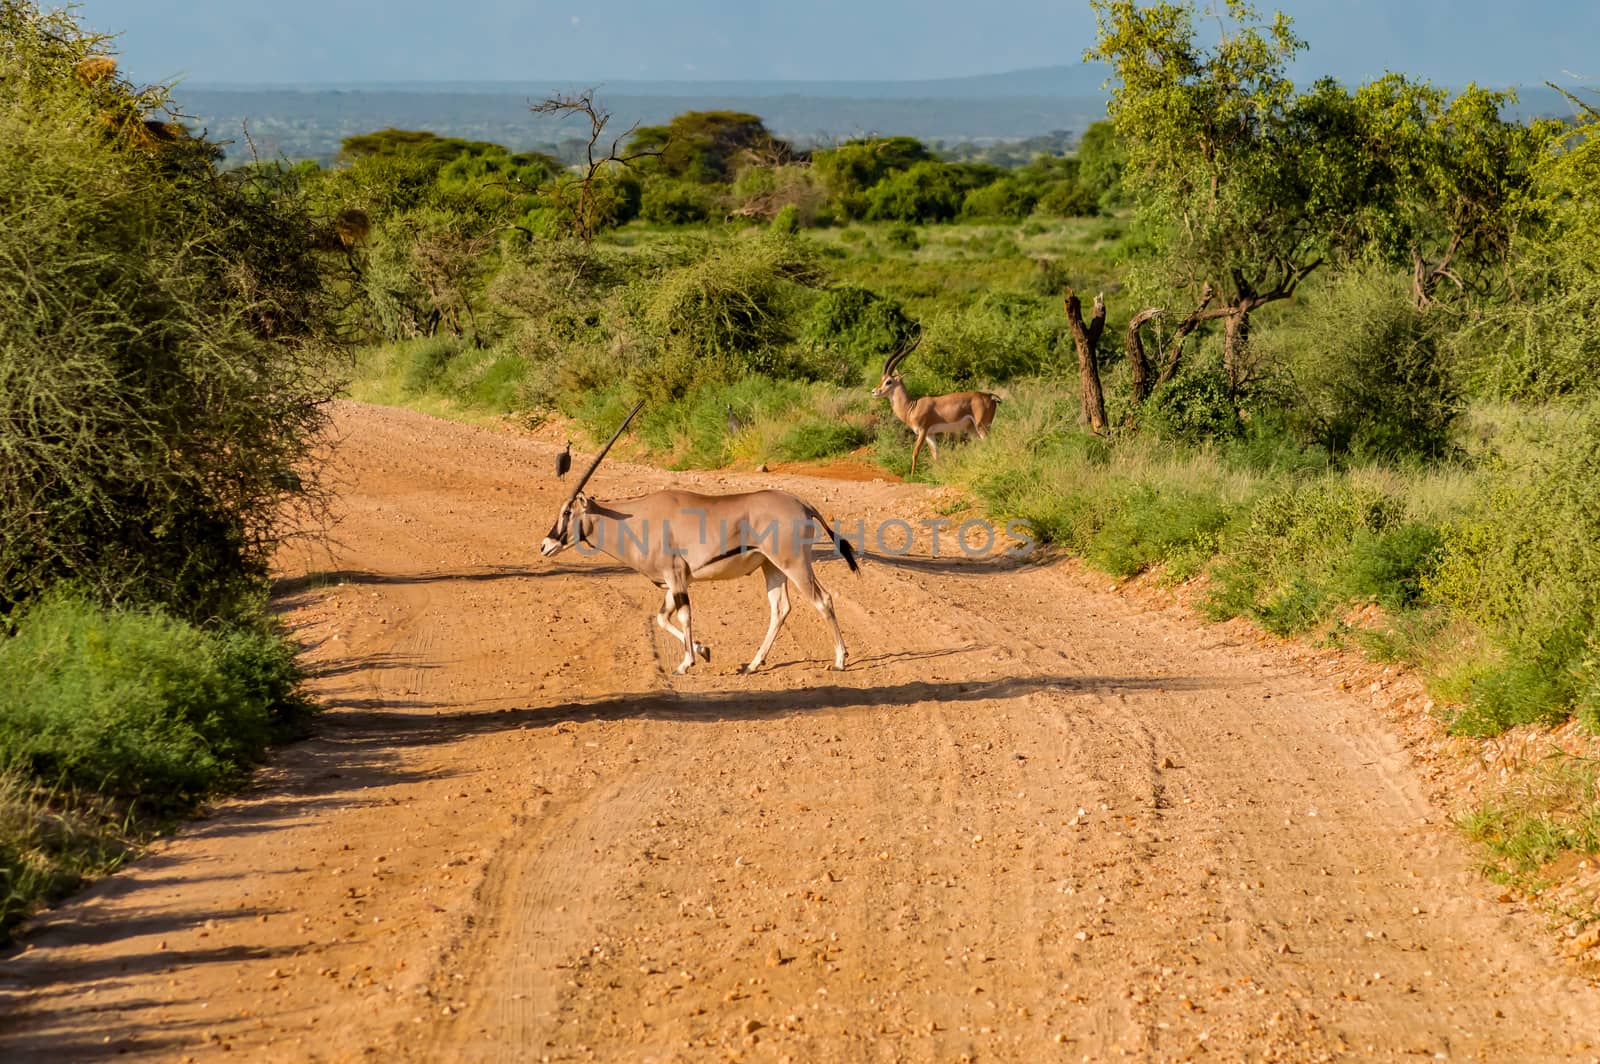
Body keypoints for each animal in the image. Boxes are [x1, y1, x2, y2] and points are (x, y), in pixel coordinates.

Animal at [540, 398, 864, 672]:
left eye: (567, 512)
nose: (545, 545)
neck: (635, 519)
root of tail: (802, 503)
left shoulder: (674, 576)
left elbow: (683, 615)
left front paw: (687, 663)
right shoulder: (674, 581)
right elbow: (662, 617)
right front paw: (703, 650)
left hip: (794, 563)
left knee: (823, 600)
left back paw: (839, 660)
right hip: (771, 566)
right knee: (780, 608)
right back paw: (752, 664)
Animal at [876, 326, 998, 470]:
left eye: (888, 381)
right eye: (882, 379)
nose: (874, 391)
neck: (912, 407)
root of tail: (990, 397)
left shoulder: (923, 431)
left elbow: (915, 453)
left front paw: (914, 474)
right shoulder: (930, 435)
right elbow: (935, 456)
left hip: (982, 427)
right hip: (972, 429)